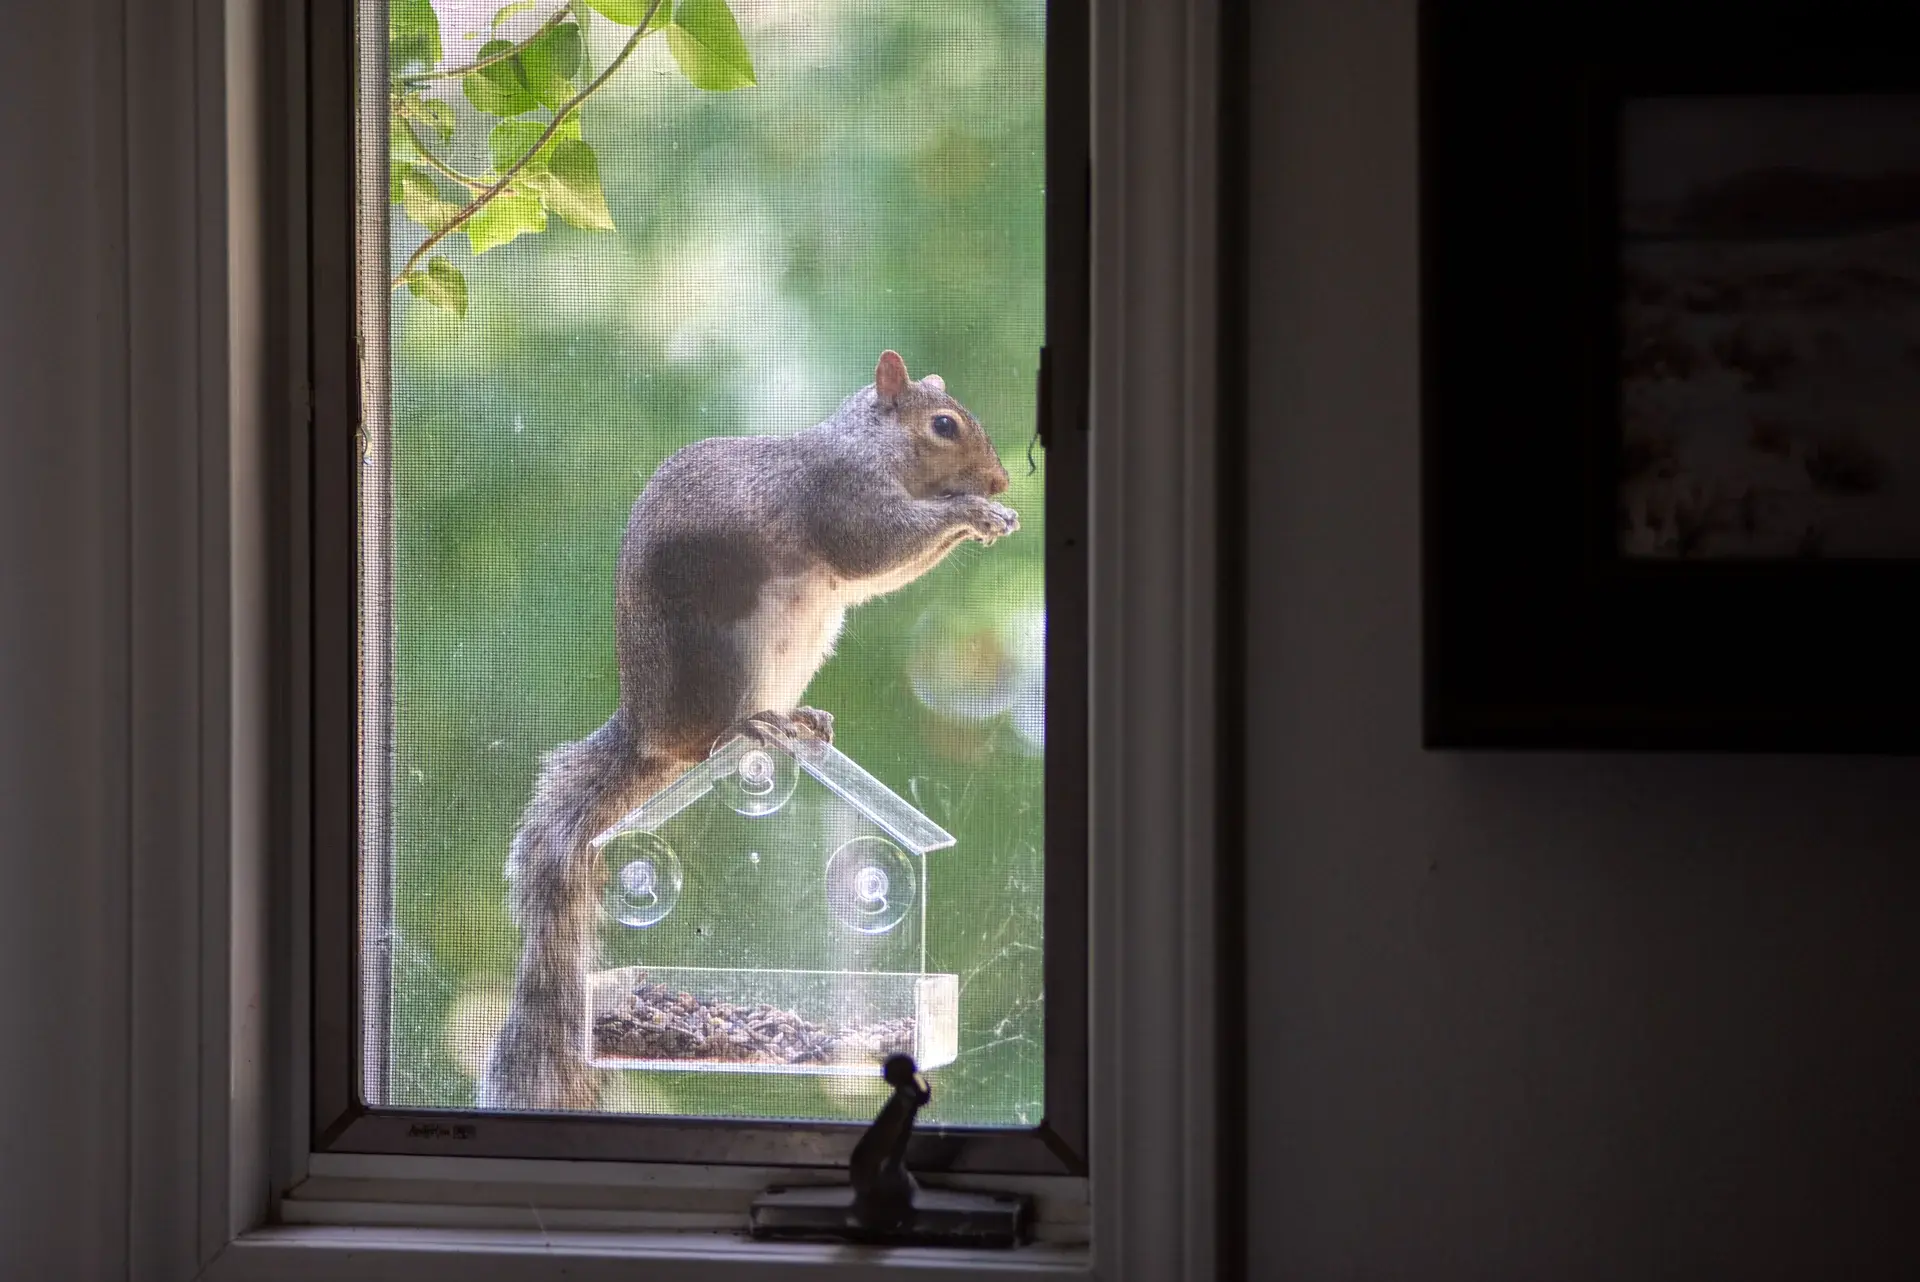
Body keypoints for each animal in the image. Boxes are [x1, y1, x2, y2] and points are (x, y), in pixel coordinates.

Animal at [477, 350, 1019, 1111]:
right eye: (944, 425)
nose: (1000, 480)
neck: (867, 447)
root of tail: (647, 730)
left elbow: (888, 572)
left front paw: (995, 514)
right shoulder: (840, 499)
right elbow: (876, 550)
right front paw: (970, 510)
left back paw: (801, 718)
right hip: (725, 653)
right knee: (710, 738)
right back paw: (753, 723)